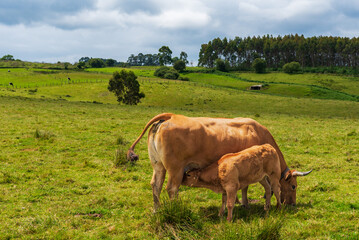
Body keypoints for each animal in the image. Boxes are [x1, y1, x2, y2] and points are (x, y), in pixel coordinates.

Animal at [127, 112, 312, 210]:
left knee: (156, 186)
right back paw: (176, 209)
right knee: (172, 188)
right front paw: (244, 203)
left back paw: (157, 210)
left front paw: (238, 201)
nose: (293, 204)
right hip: (175, 169)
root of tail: (171, 116)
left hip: (158, 166)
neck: (258, 133)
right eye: (294, 186)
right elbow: (245, 187)